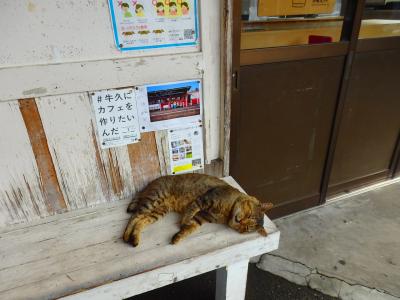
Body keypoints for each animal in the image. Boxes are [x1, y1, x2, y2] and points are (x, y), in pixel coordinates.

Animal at [122, 173, 272, 246]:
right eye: (250, 215)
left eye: (246, 229)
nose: (240, 222)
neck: (227, 213)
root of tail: (149, 184)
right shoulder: (204, 199)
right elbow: (190, 212)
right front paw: (183, 221)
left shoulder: (202, 218)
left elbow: (190, 228)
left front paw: (178, 237)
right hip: (154, 200)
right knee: (134, 216)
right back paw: (126, 236)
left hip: (158, 211)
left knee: (141, 221)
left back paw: (134, 239)